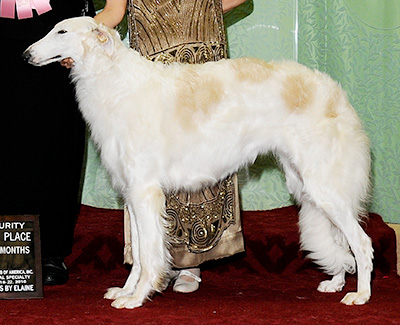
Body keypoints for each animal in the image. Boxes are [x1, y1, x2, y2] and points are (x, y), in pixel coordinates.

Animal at [24, 16, 376, 308]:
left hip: (323, 186)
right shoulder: (131, 194)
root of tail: (337, 95)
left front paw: (137, 298)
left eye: (61, 31)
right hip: (310, 187)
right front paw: (125, 290)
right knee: (342, 240)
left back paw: (361, 295)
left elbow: (149, 254)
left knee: (362, 243)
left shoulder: (145, 192)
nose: (26, 54)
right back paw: (336, 282)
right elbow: (137, 254)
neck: (113, 80)